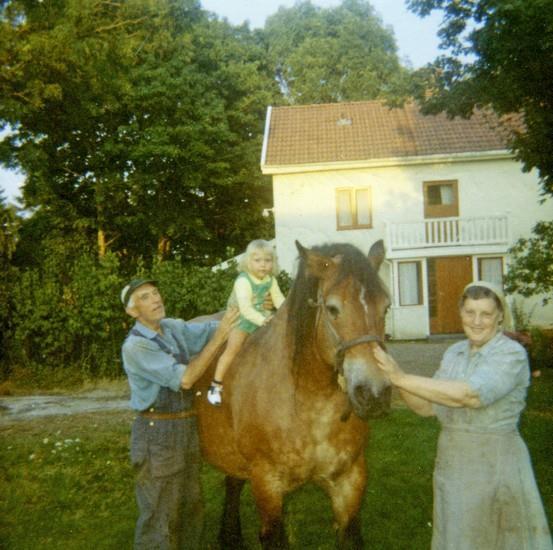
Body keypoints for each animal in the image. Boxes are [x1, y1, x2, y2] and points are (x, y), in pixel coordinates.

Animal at [196, 242, 390, 550]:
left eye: (386, 306)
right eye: (333, 308)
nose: (374, 393)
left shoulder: (349, 481)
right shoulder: (268, 485)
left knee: (233, 484)